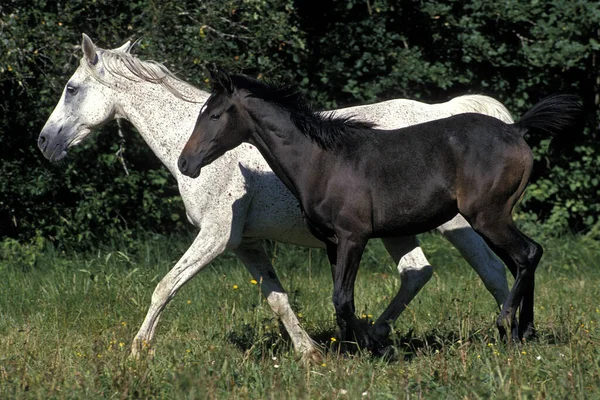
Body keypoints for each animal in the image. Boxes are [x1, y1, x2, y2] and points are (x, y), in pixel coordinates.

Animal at [39, 33, 512, 360]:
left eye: (71, 88)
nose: (45, 142)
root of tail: (447, 112)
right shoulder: (245, 244)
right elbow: (277, 298)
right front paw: (310, 354)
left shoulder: (215, 237)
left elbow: (164, 286)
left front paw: (139, 350)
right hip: (398, 231)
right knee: (417, 272)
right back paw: (377, 336)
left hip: (457, 224)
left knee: (491, 270)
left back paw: (508, 334)